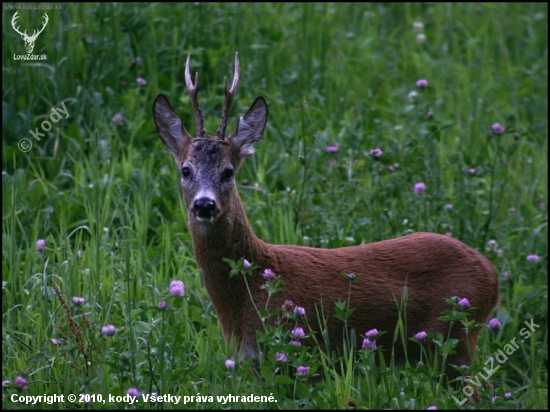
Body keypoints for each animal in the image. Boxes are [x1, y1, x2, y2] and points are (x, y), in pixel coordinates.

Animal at [153, 52, 502, 380]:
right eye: (186, 170)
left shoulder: (300, 353)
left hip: (455, 341)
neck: (251, 291)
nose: (205, 205)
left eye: (228, 172)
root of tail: (491, 273)